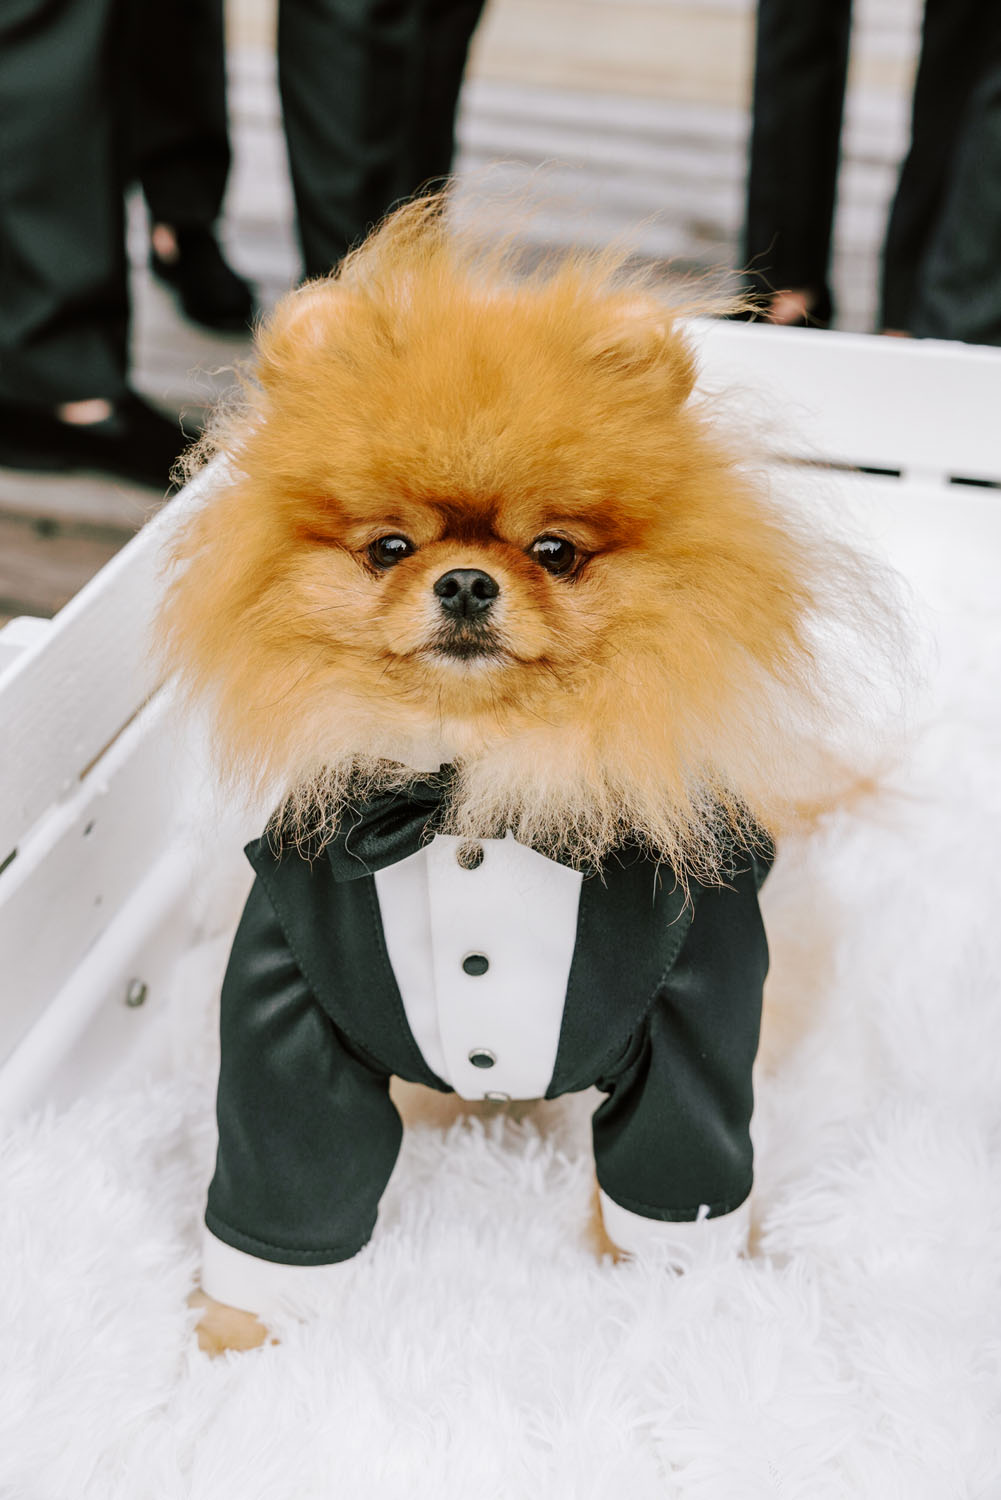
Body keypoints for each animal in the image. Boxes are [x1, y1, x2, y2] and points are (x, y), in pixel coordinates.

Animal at [160, 193, 894, 1356]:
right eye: (389, 547)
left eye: (552, 551)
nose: (465, 581)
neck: (472, 788)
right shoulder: (290, 1008)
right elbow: (281, 1194)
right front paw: (236, 1347)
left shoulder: (694, 1018)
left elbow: (677, 1187)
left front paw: (683, 1313)